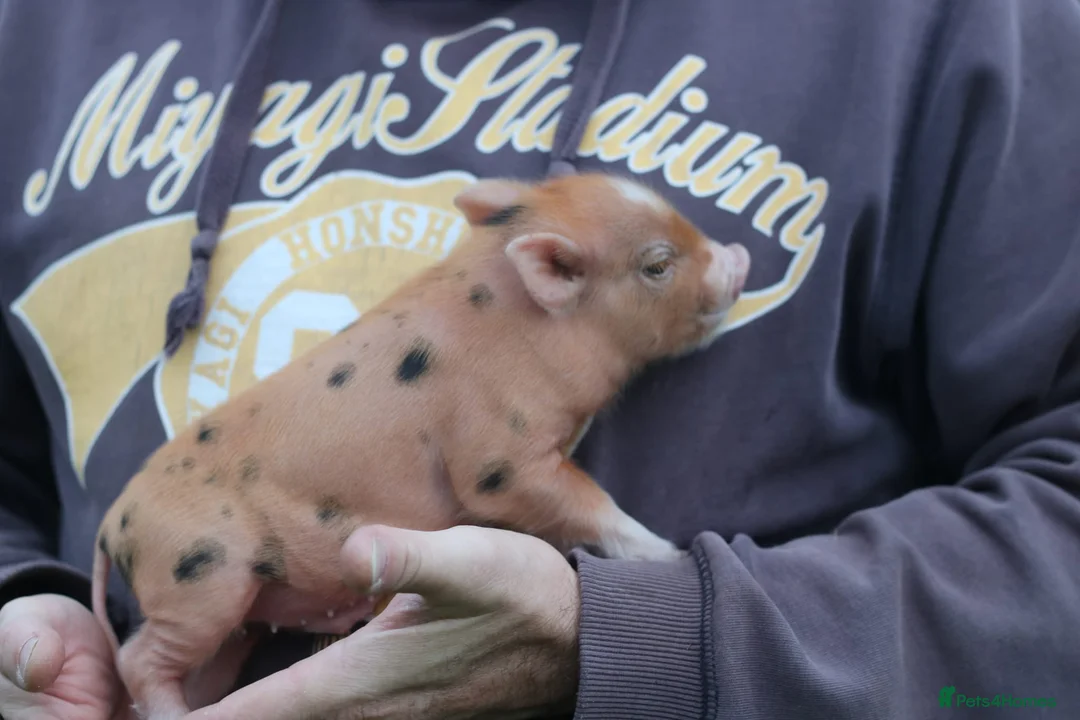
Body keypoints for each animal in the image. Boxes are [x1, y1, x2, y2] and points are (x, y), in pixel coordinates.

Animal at [90, 171, 751, 720]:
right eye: (657, 265)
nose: (737, 256)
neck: (524, 327)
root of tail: (112, 525)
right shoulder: (498, 460)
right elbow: (583, 500)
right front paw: (666, 552)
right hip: (198, 577)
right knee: (135, 658)